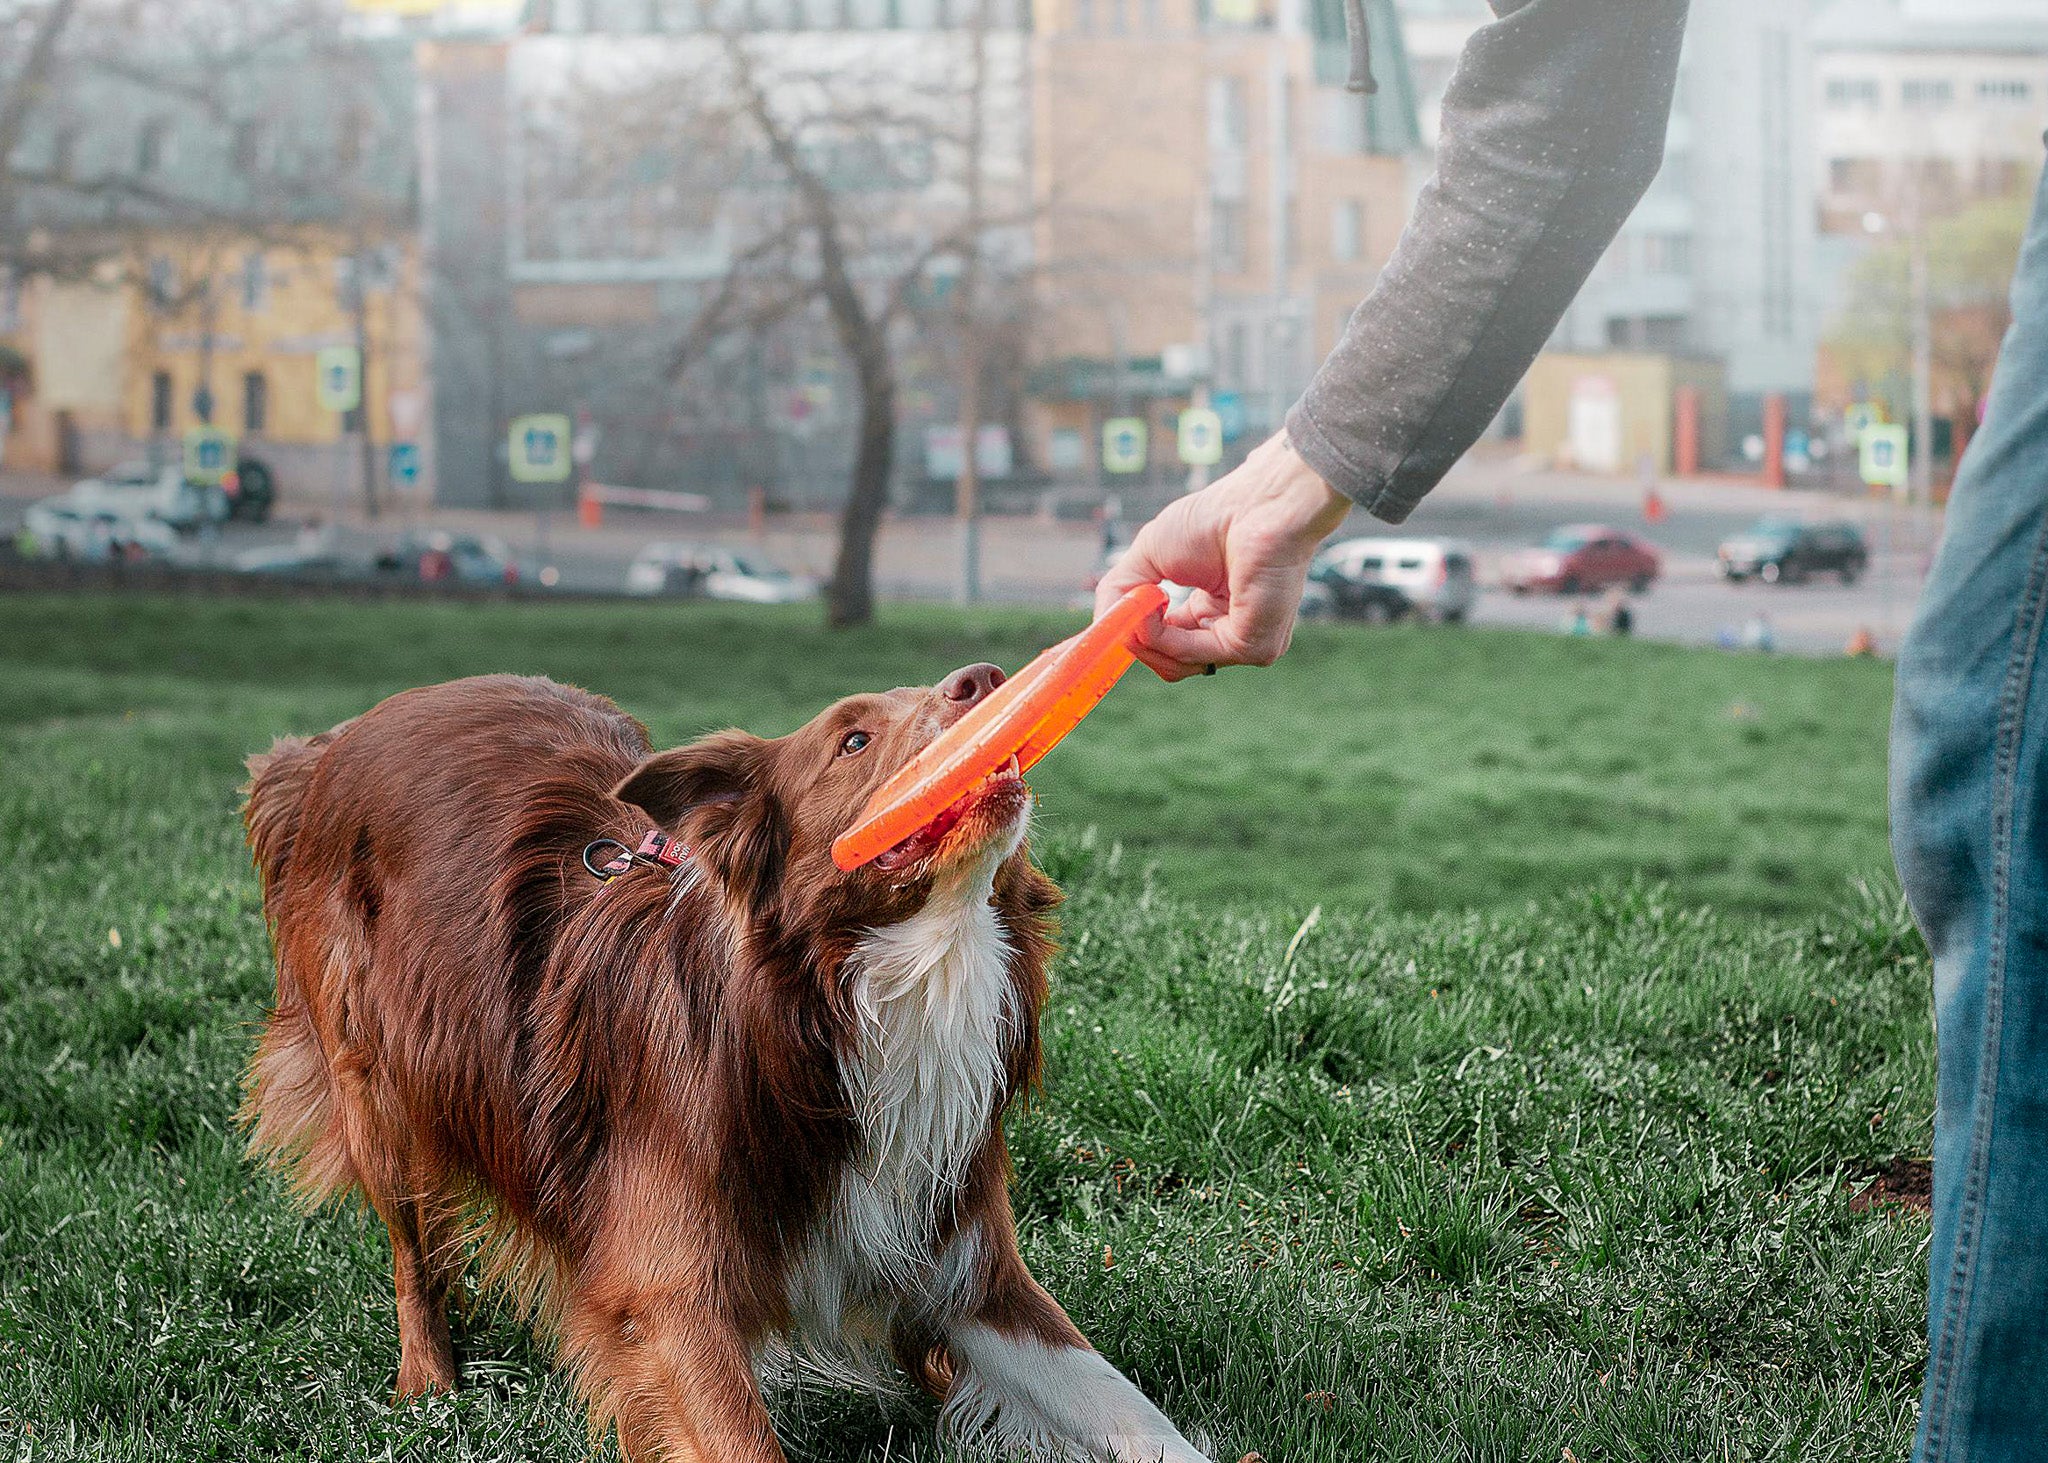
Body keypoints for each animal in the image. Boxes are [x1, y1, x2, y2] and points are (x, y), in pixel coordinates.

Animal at [237, 667, 1204, 1458]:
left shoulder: (964, 1262)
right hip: (380, 1087)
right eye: (853, 739)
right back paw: (428, 1383)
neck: (865, 993)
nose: (987, 677)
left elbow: (1129, 1411)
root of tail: (338, 739)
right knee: (414, 1252)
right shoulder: (667, 1297)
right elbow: (738, 1435)